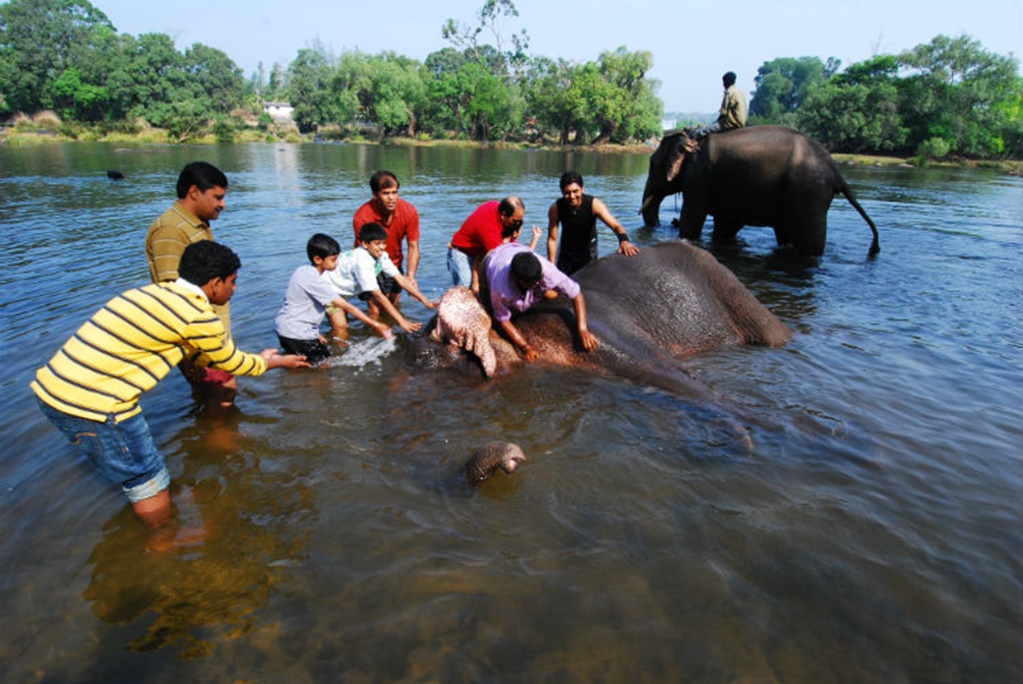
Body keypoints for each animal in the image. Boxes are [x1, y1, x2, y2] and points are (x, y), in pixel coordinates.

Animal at [638, 125, 879, 255]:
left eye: (652, 163)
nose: (665, 223)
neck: (690, 135)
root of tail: (836, 172)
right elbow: (726, 225)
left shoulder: (700, 176)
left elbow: (693, 219)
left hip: (808, 194)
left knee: (810, 242)